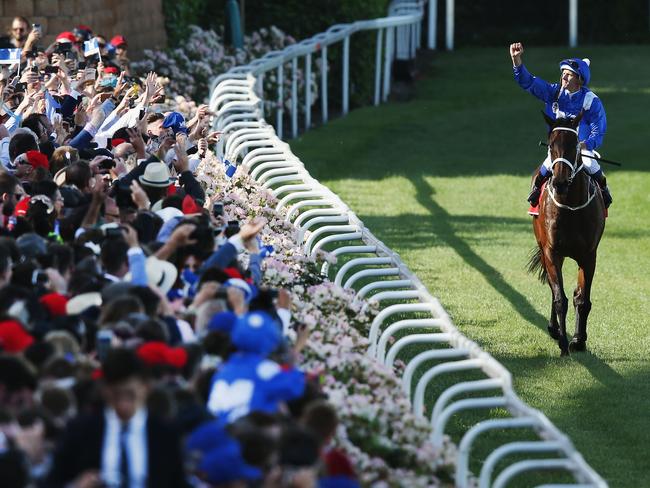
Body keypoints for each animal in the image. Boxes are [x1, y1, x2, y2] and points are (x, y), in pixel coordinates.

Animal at [528, 113, 604, 358]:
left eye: (574, 145)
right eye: (551, 145)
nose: (559, 182)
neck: (571, 208)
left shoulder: (589, 255)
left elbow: (582, 298)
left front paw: (578, 340)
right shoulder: (552, 252)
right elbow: (560, 297)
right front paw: (563, 342)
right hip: (545, 249)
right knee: (554, 291)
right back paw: (554, 329)